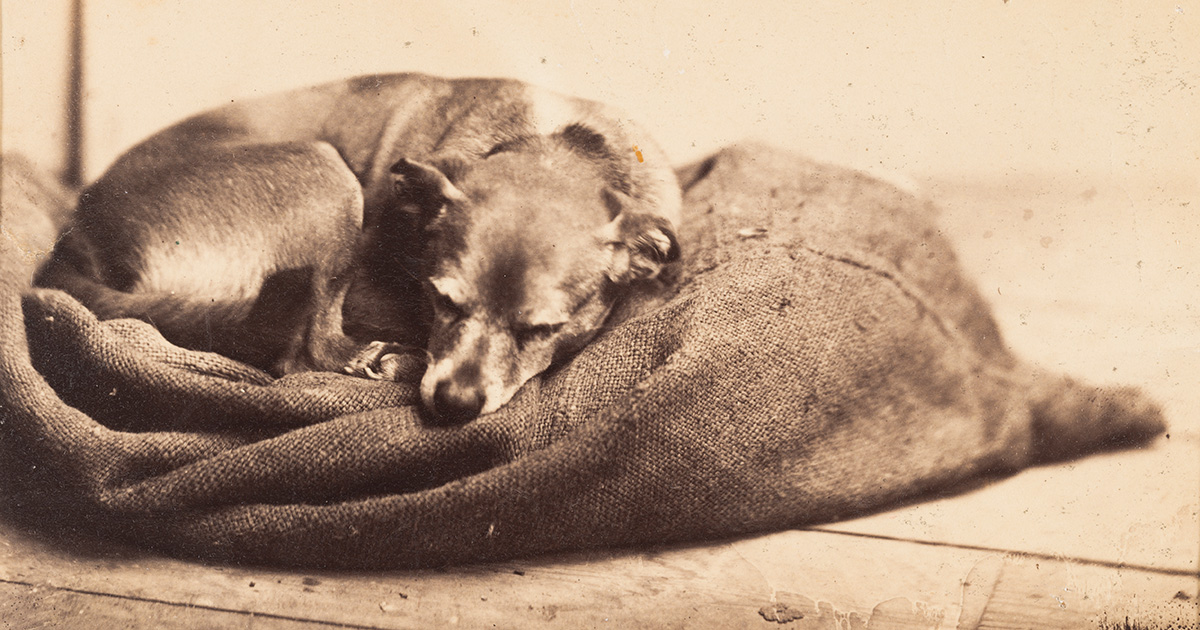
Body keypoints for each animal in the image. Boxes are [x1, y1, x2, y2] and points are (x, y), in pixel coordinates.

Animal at [37, 75, 681, 427]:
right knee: (304, 352)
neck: (559, 143)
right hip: (326, 176)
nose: (452, 404)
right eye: (440, 299)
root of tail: (74, 240)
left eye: (543, 329)